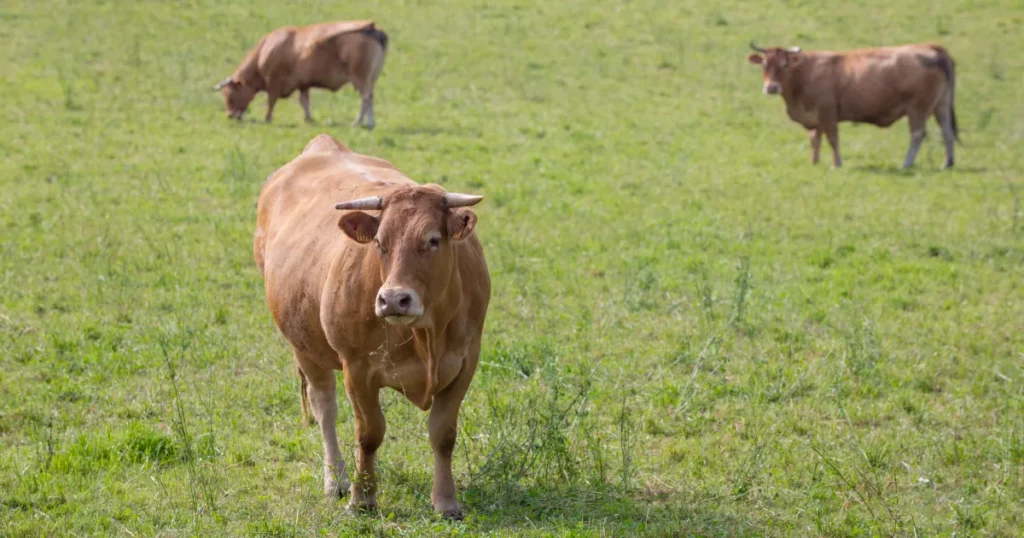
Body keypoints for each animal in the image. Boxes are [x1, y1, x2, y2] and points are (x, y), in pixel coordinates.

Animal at [215, 20, 387, 128]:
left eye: (229, 94)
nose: (229, 115)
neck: (264, 51)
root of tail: (372, 28)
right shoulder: (303, 84)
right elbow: (304, 101)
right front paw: (308, 118)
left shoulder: (274, 82)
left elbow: (271, 101)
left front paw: (267, 118)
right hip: (371, 79)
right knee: (370, 96)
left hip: (360, 78)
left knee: (366, 98)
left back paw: (361, 122)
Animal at [253, 132, 489, 518]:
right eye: (380, 242)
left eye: (433, 240)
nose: (393, 299)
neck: (425, 336)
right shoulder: (357, 369)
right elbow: (369, 434)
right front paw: (362, 497)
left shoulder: (465, 362)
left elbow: (443, 433)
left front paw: (446, 501)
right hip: (302, 345)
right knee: (324, 407)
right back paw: (336, 479)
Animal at [745, 42, 958, 168]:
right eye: (764, 64)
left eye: (784, 65)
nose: (771, 87)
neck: (805, 73)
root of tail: (929, 47)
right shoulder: (814, 116)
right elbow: (815, 139)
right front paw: (814, 162)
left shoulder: (827, 113)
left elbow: (832, 138)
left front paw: (836, 164)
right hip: (941, 105)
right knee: (947, 132)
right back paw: (947, 163)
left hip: (918, 108)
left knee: (917, 134)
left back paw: (906, 163)